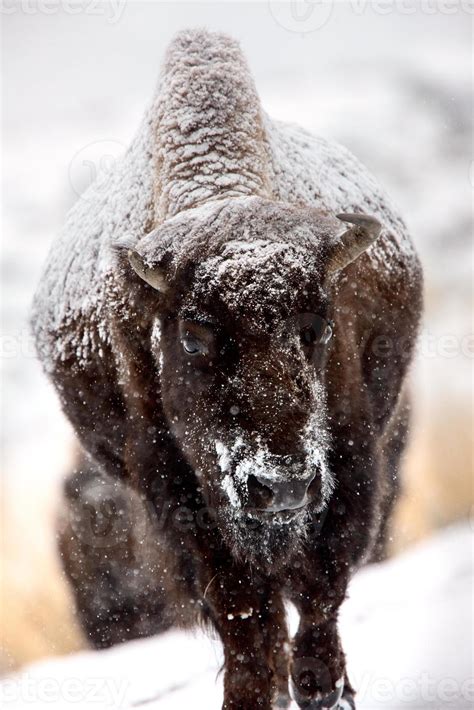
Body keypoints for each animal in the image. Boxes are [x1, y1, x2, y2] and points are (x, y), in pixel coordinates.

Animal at [32, 29, 422, 710]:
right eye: (193, 336)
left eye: (318, 327)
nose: (282, 485)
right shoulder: (177, 498)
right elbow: (244, 614)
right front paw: (253, 694)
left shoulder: (352, 462)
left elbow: (321, 589)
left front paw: (324, 689)